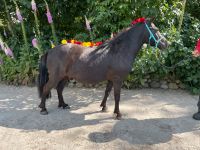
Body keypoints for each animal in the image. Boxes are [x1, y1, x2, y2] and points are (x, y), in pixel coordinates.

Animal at [37, 18, 169, 119]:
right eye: (156, 30)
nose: (166, 44)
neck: (119, 51)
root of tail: (50, 51)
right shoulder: (118, 79)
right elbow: (117, 96)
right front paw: (118, 114)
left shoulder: (111, 79)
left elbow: (107, 92)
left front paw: (104, 107)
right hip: (56, 77)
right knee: (46, 88)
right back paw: (43, 109)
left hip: (65, 77)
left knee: (59, 89)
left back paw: (63, 105)